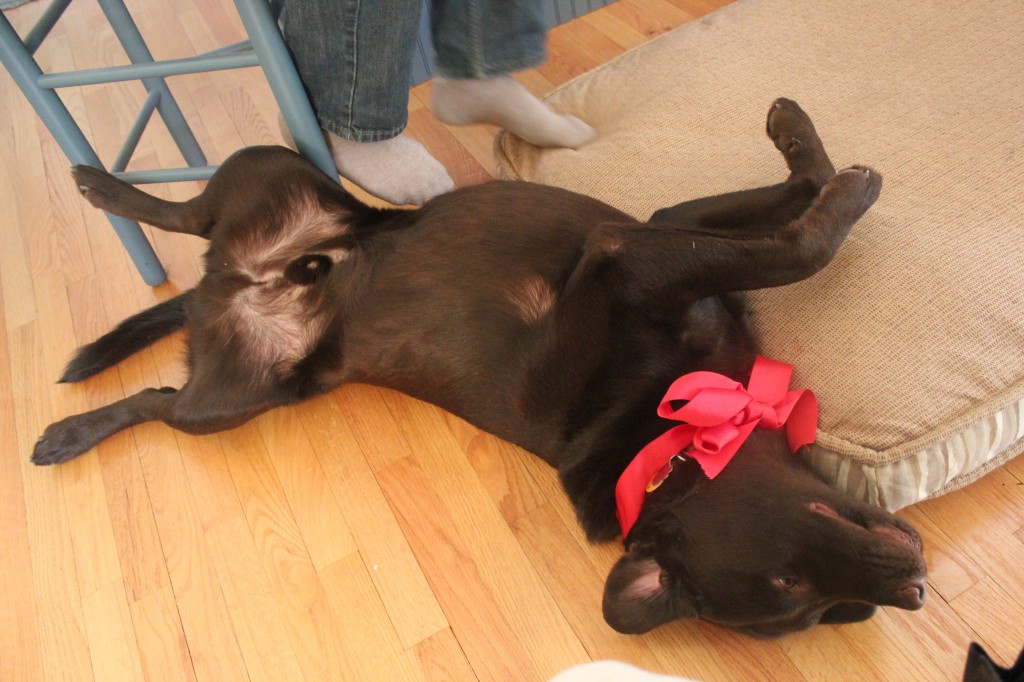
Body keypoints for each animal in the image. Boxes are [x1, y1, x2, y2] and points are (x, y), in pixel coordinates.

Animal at [34, 100, 929, 638]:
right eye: (789, 587)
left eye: (812, 607)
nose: (917, 588)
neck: (664, 436)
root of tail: (230, 283)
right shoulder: (635, 252)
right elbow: (804, 241)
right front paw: (840, 184)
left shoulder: (664, 230)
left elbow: (796, 194)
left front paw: (802, 139)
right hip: (244, 319)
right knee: (169, 310)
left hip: (261, 334)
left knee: (180, 287)